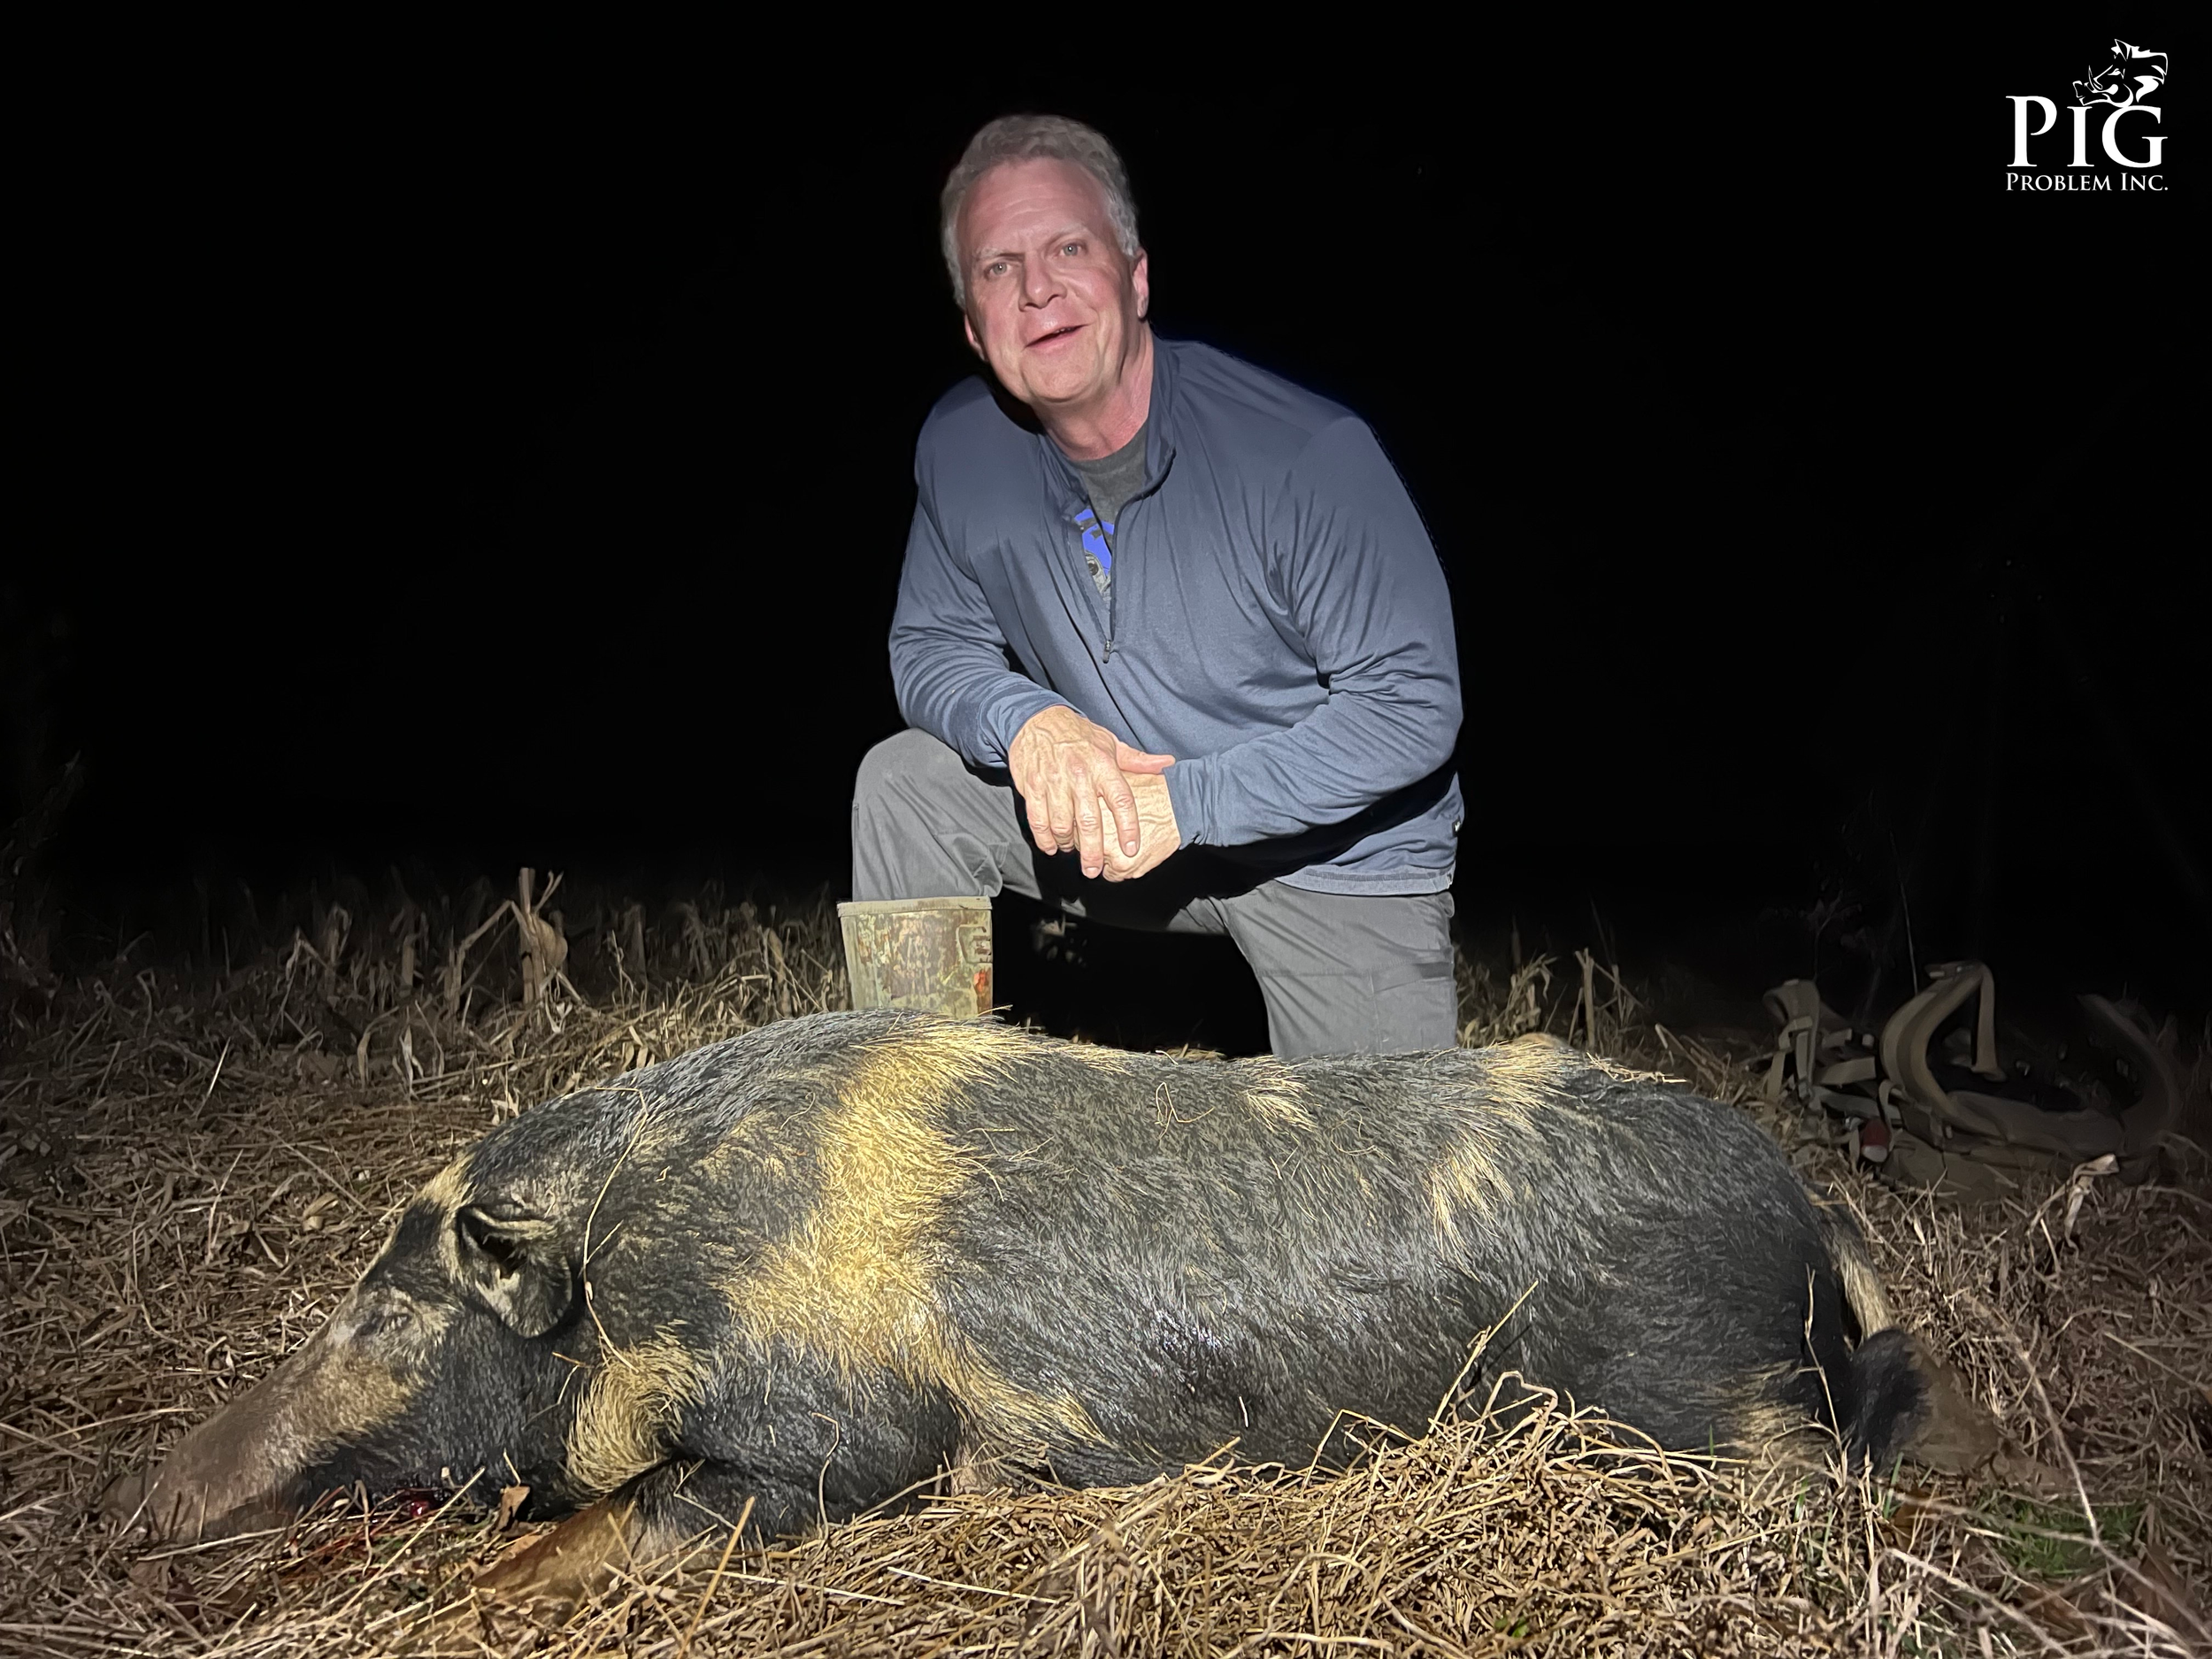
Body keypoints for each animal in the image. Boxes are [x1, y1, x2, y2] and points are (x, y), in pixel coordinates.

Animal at [105, 1011, 1989, 1623]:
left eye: (382, 1319)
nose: (147, 1498)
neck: (650, 1260)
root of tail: (1813, 1218)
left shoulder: (844, 1447)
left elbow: (597, 1528)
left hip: (1710, 1406)